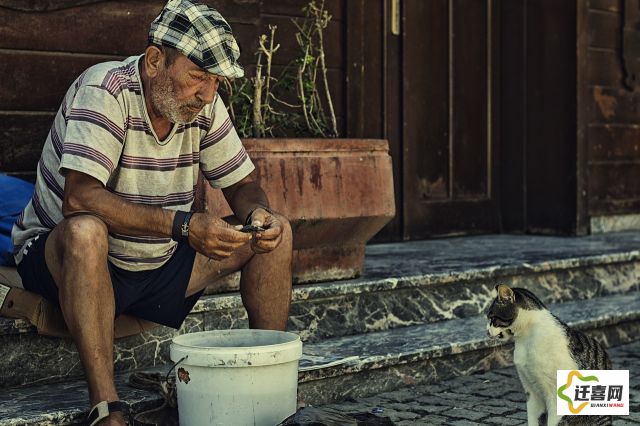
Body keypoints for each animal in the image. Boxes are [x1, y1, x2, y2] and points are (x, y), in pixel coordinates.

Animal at [488, 282, 612, 426]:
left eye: (492, 318)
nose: (487, 331)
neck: (525, 339)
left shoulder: (555, 396)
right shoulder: (532, 392)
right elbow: (533, 419)